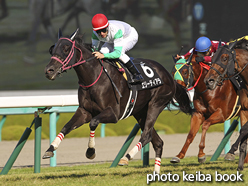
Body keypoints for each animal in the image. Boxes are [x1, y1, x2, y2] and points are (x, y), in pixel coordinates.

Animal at [43, 28, 194, 173]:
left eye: (66, 48)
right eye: (52, 49)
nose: (49, 71)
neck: (94, 77)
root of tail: (170, 77)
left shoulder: (113, 113)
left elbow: (93, 122)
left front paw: (90, 151)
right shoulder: (84, 111)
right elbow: (66, 127)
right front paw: (50, 149)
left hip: (156, 104)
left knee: (146, 135)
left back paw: (126, 158)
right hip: (140, 112)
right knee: (157, 142)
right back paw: (155, 173)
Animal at [204, 39, 248, 170]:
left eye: (224, 58)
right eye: (212, 59)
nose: (209, 81)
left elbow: (244, 130)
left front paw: (231, 152)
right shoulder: (244, 110)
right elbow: (244, 136)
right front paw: (240, 166)